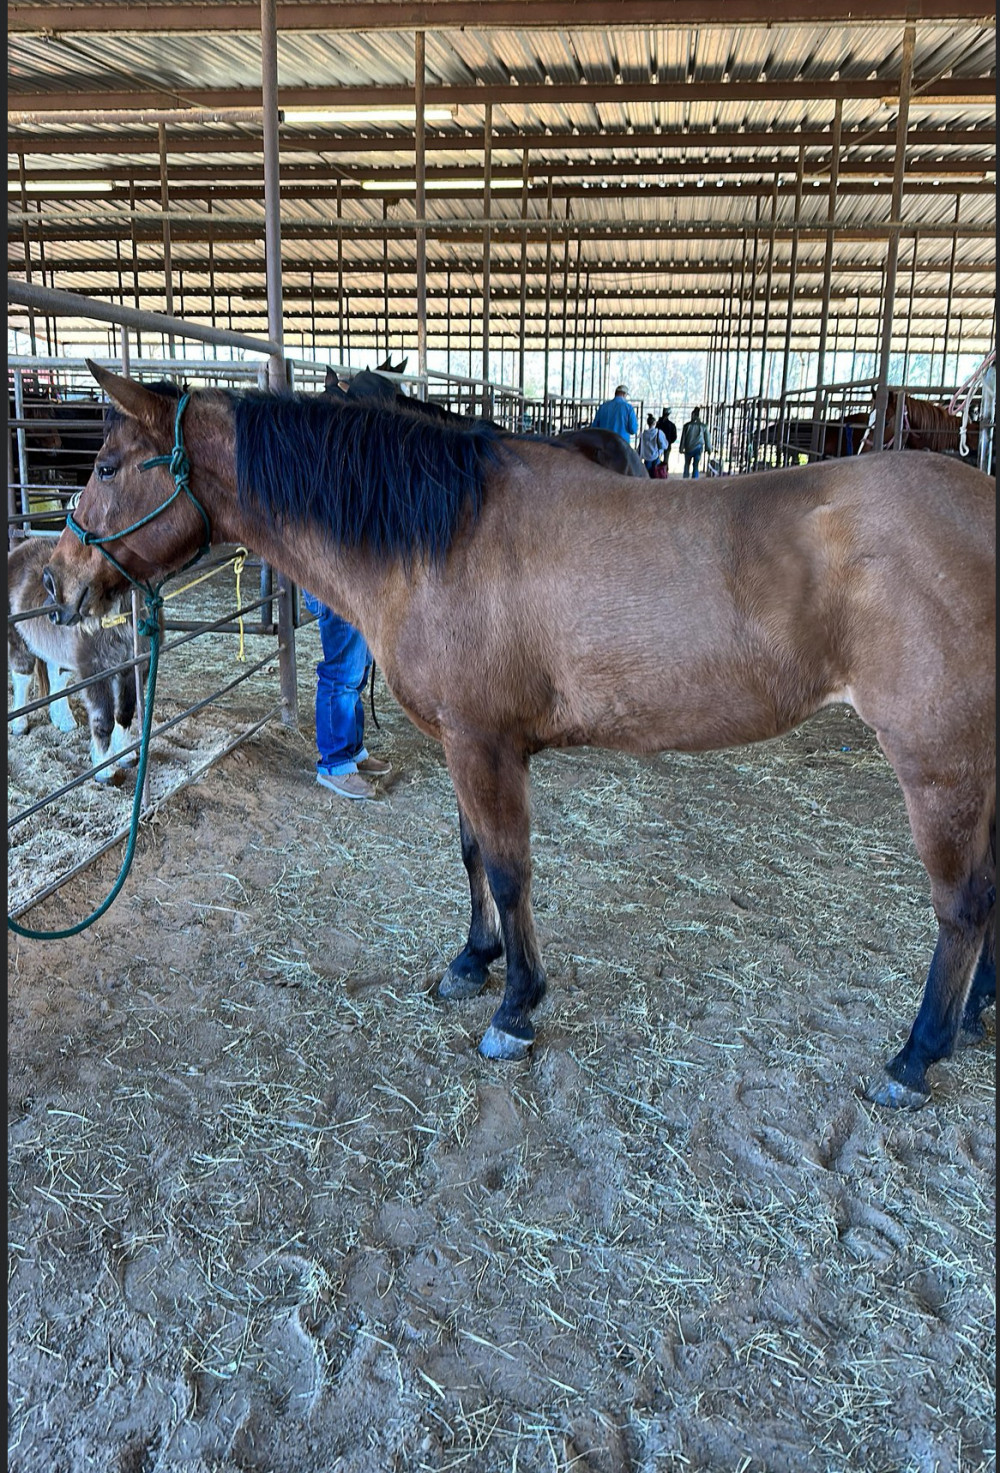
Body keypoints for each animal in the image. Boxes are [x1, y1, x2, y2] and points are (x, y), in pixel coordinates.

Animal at [9, 535, 145, 781]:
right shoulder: (95, 669)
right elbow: (103, 720)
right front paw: (105, 769)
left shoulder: (131, 667)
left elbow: (125, 713)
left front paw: (127, 755)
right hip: (17, 637)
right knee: (22, 675)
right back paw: (19, 725)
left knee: (57, 678)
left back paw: (64, 722)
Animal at [42, 363, 996, 1110]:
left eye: (106, 464)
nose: (56, 581)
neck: (442, 537)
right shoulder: (466, 745)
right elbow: (471, 854)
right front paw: (473, 962)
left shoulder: (483, 744)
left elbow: (506, 868)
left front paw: (516, 1006)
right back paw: (975, 1016)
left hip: (941, 764)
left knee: (963, 904)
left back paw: (916, 1058)